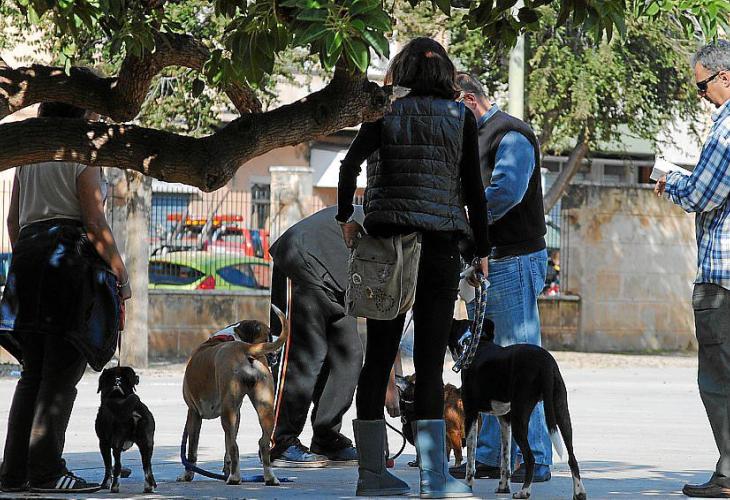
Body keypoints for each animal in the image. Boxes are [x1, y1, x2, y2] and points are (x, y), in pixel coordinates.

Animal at [177, 305, 289, 486]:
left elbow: (192, 450)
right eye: (269, 334)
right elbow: (227, 449)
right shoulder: (238, 413)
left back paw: (235, 477)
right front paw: (226, 471)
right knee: (261, 443)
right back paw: (269, 477)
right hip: (264, 408)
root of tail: (245, 348)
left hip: (227, 411)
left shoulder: (193, 413)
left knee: (234, 447)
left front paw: (187, 475)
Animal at [449, 318, 587, 500]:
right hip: (561, 412)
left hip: (520, 416)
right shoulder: (504, 419)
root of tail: (545, 362)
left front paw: (467, 485)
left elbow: (471, 457)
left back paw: (524, 491)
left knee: (530, 458)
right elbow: (505, 459)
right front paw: (503, 487)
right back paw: (579, 492)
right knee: (572, 457)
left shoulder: (471, 414)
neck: (473, 344)